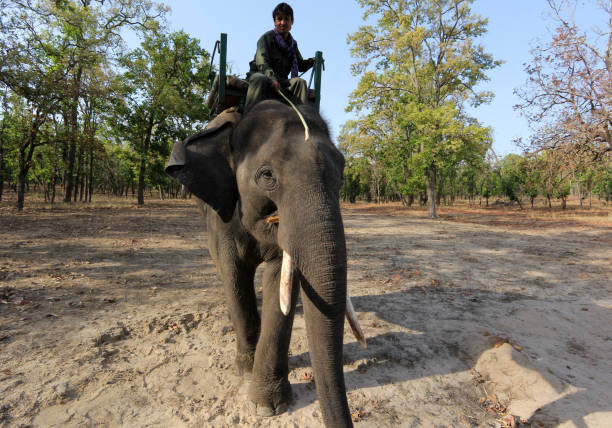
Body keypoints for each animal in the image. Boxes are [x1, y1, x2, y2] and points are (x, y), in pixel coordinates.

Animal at [165, 101, 364, 428]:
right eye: (267, 175)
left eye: (343, 174)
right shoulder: (223, 211)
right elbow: (234, 275)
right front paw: (247, 372)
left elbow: (279, 281)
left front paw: (269, 406)